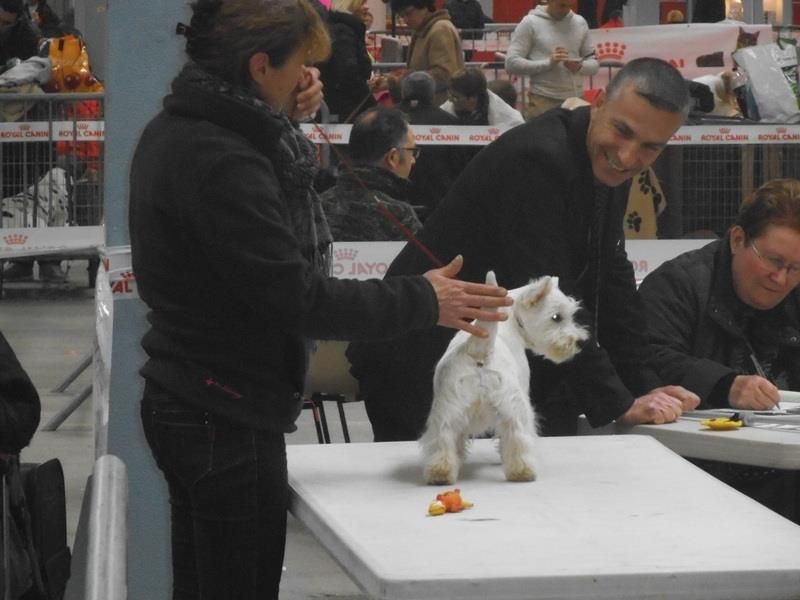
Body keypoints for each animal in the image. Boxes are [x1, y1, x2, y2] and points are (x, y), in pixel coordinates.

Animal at [420, 273, 589, 484]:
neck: (510, 320)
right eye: (556, 317)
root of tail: (479, 351)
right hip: (513, 408)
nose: (581, 342)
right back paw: (522, 471)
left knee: (442, 440)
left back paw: (440, 473)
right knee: (517, 436)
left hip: (448, 410)